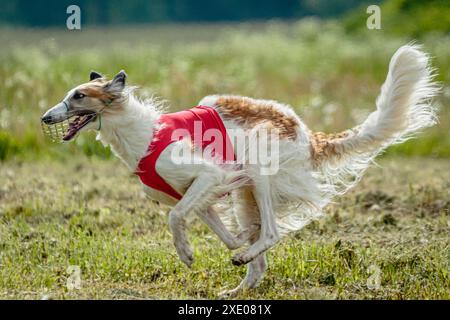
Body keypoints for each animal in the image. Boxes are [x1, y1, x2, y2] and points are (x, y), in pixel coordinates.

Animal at [41, 43, 436, 296]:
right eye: (68, 95)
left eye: (78, 96)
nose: (45, 118)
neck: (143, 134)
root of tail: (307, 134)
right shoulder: (198, 194)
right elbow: (218, 231)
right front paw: (235, 242)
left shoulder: (209, 177)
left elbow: (176, 219)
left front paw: (187, 254)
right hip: (246, 194)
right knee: (259, 257)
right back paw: (238, 282)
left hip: (258, 169)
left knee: (273, 233)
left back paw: (246, 256)